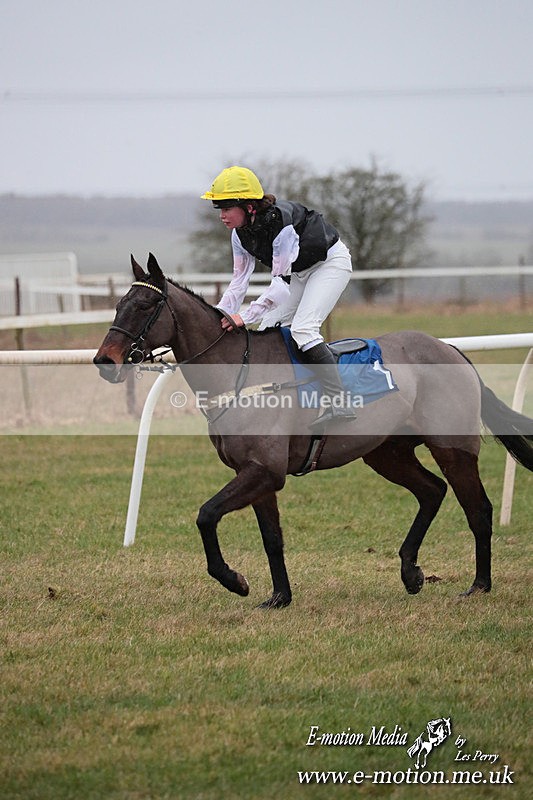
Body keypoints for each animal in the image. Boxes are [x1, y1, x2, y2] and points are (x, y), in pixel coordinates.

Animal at [94, 253, 533, 609]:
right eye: (118, 305)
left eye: (145, 305)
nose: (104, 361)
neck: (240, 373)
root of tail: (451, 350)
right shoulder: (257, 474)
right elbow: (272, 538)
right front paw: (279, 597)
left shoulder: (264, 471)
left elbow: (206, 515)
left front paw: (235, 581)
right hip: (386, 452)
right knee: (432, 491)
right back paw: (411, 572)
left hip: (453, 447)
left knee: (477, 509)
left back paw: (479, 586)